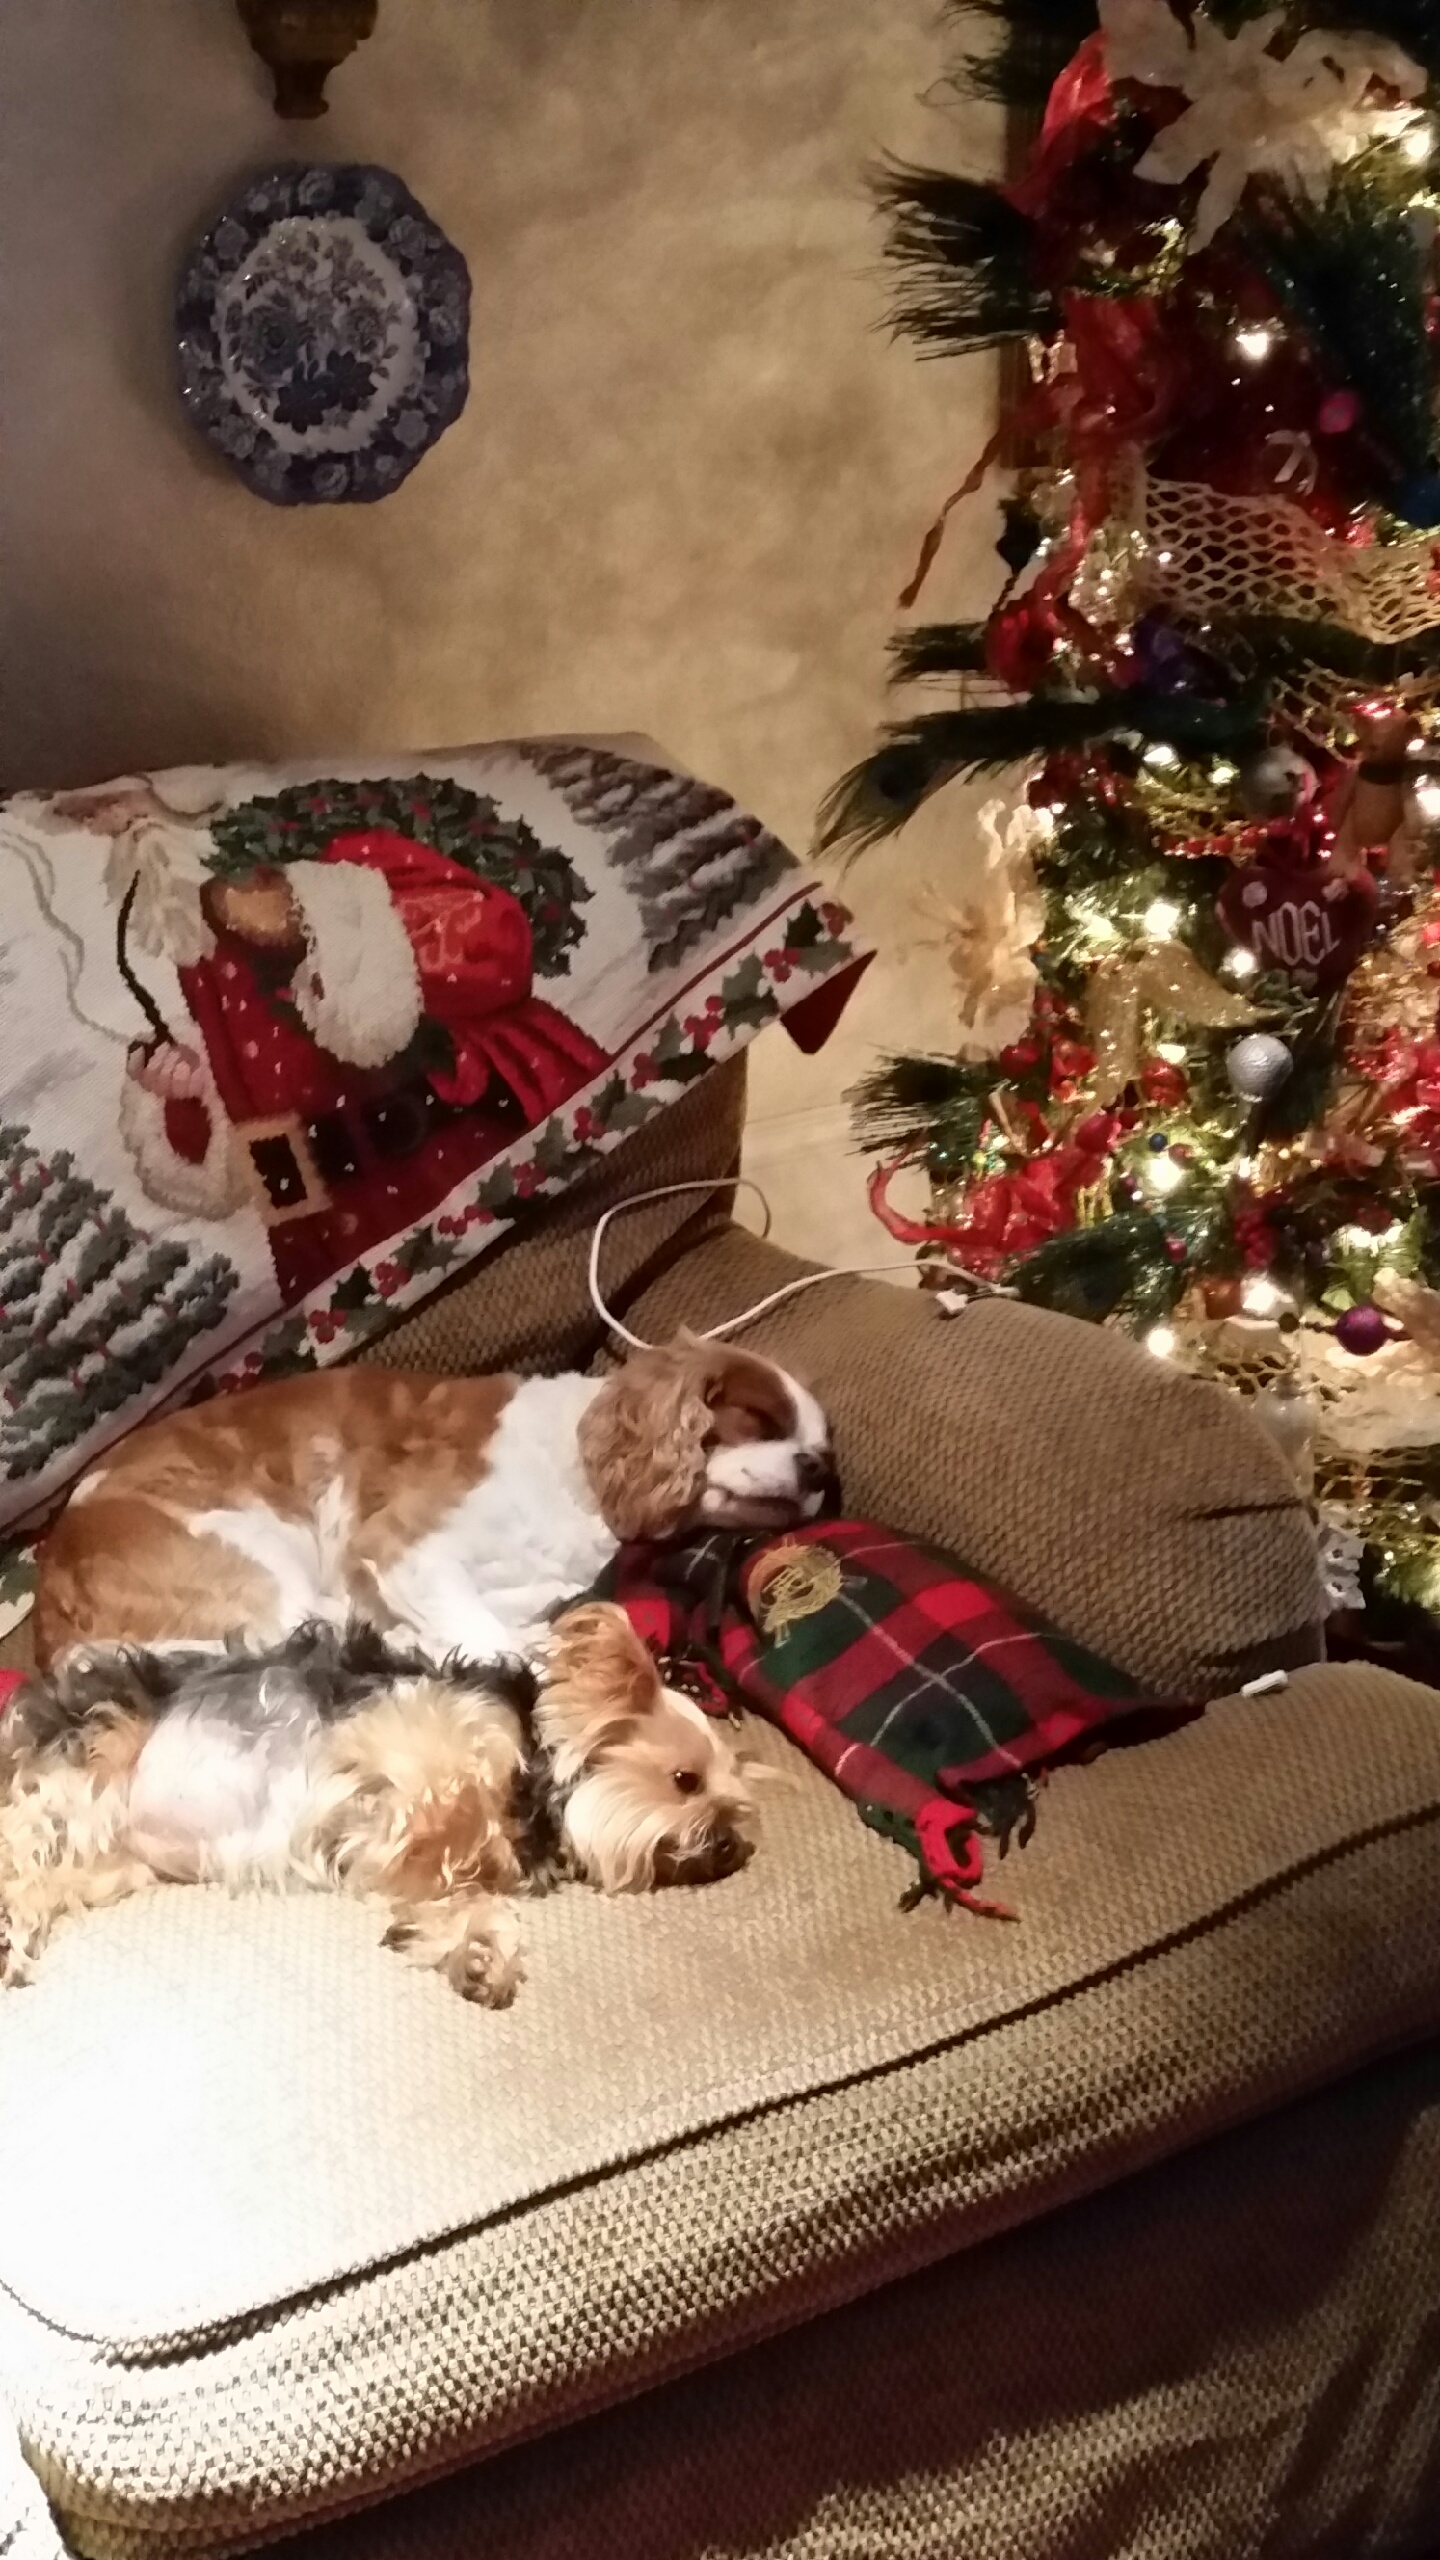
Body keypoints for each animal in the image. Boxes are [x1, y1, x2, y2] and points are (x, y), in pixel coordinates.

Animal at [0, 1603, 755, 2002]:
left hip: (107, 1862)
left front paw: (476, 1950)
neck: (535, 1777)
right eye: (685, 1781)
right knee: (19, 1837)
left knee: (38, 1879)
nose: (732, 1846)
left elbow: (467, 1896)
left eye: (733, 1802)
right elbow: (449, 1817)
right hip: (90, 1755)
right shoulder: (393, 1742)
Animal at [33, 1333, 833, 1671]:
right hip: (256, 1553)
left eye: (822, 1450)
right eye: (758, 1420)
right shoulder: (402, 1550)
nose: (818, 1468)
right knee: (300, 1630)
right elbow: (493, 1639)